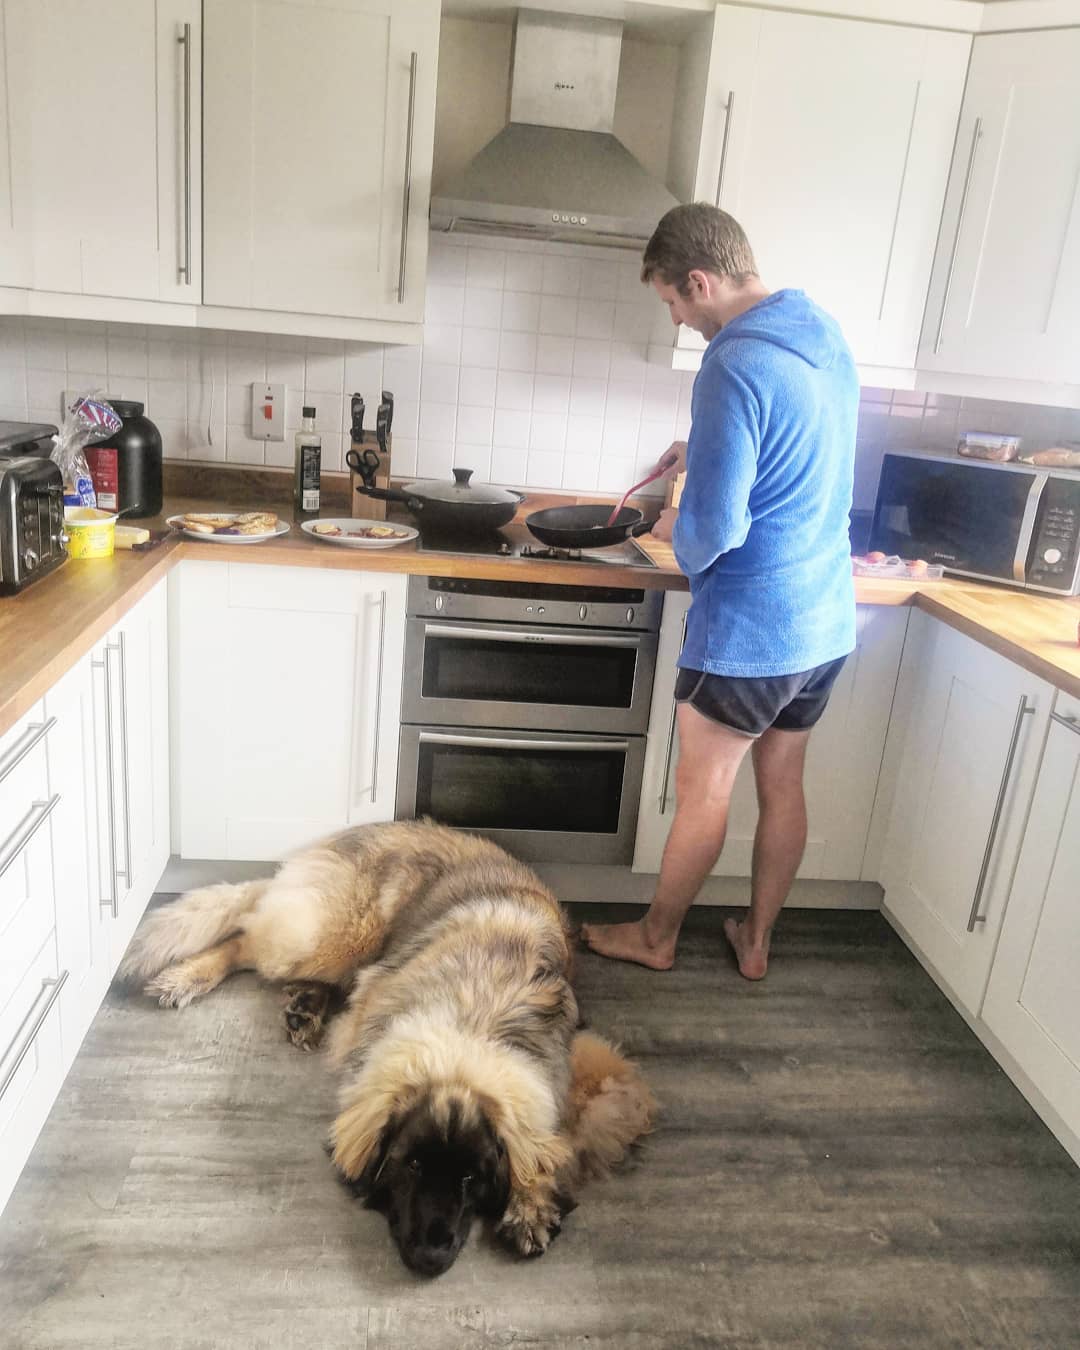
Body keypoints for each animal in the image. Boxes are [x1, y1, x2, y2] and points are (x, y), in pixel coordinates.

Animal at [118, 820, 655, 1274]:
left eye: (470, 1177)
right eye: (411, 1166)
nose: (431, 1257)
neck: (473, 1022)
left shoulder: (589, 1069)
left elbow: (556, 1137)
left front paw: (531, 1202)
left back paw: (304, 1005)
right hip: (332, 938)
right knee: (244, 937)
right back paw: (188, 978)